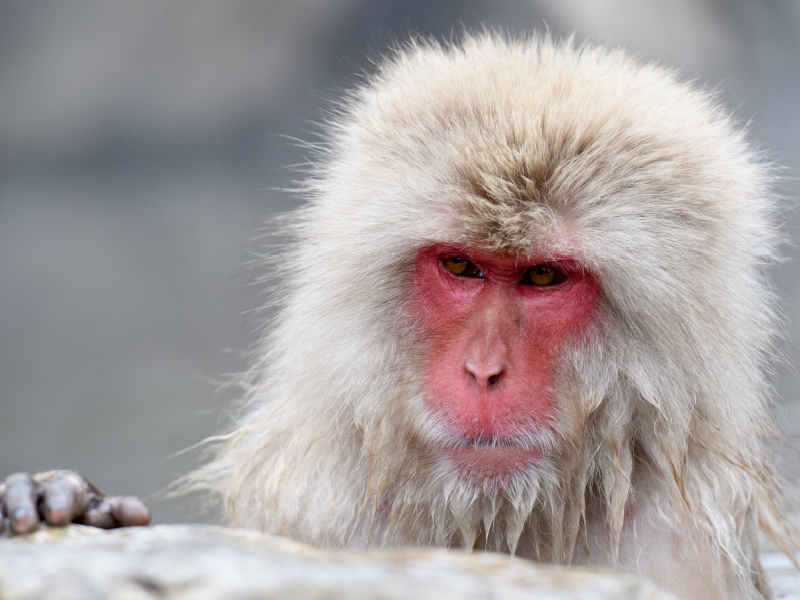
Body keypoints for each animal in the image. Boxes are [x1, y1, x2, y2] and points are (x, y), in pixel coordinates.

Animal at [3, 35, 796, 600]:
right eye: (462, 267)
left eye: (542, 275)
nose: (483, 371)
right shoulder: (315, 514)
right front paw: (67, 500)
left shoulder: (679, 550)